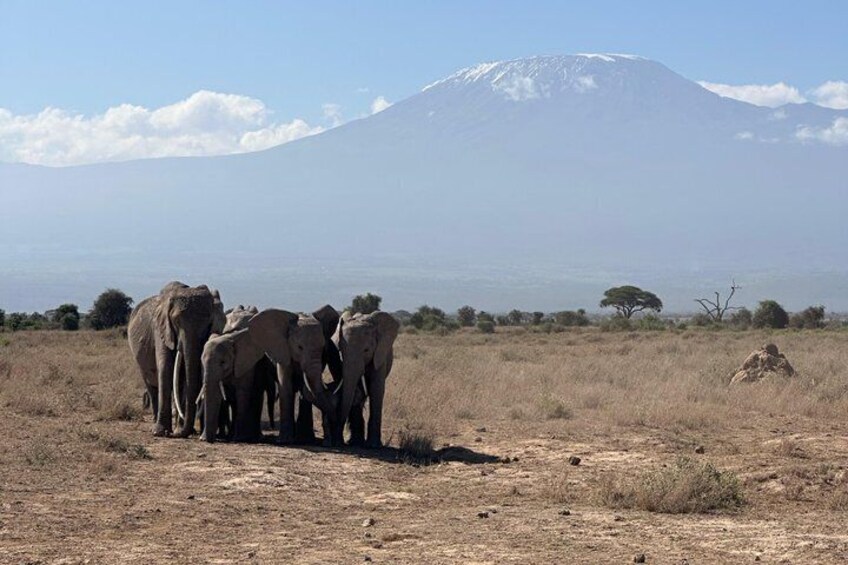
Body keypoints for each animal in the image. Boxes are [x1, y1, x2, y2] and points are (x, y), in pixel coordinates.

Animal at [127, 281, 225, 437]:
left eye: (209, 322)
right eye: (176, 321)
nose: (187, 431)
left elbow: (185, 377)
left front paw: (179, 430)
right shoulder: (161, 329)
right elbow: (165, 369)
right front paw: (160, 432)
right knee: (151, 386)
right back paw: (155, 424)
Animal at [246, 305, 342, 445]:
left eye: (323, 347)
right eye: (299, 347)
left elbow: (307, 389)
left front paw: (305, 440)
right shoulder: (283, 349)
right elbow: (286, 386)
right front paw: (285, 441)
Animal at [333, 311, 400, 448]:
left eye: (366, 350)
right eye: (341, 350)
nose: (337, 442)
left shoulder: (380, 354)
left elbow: (376, 389)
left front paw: (373, 445)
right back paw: (355, 442)